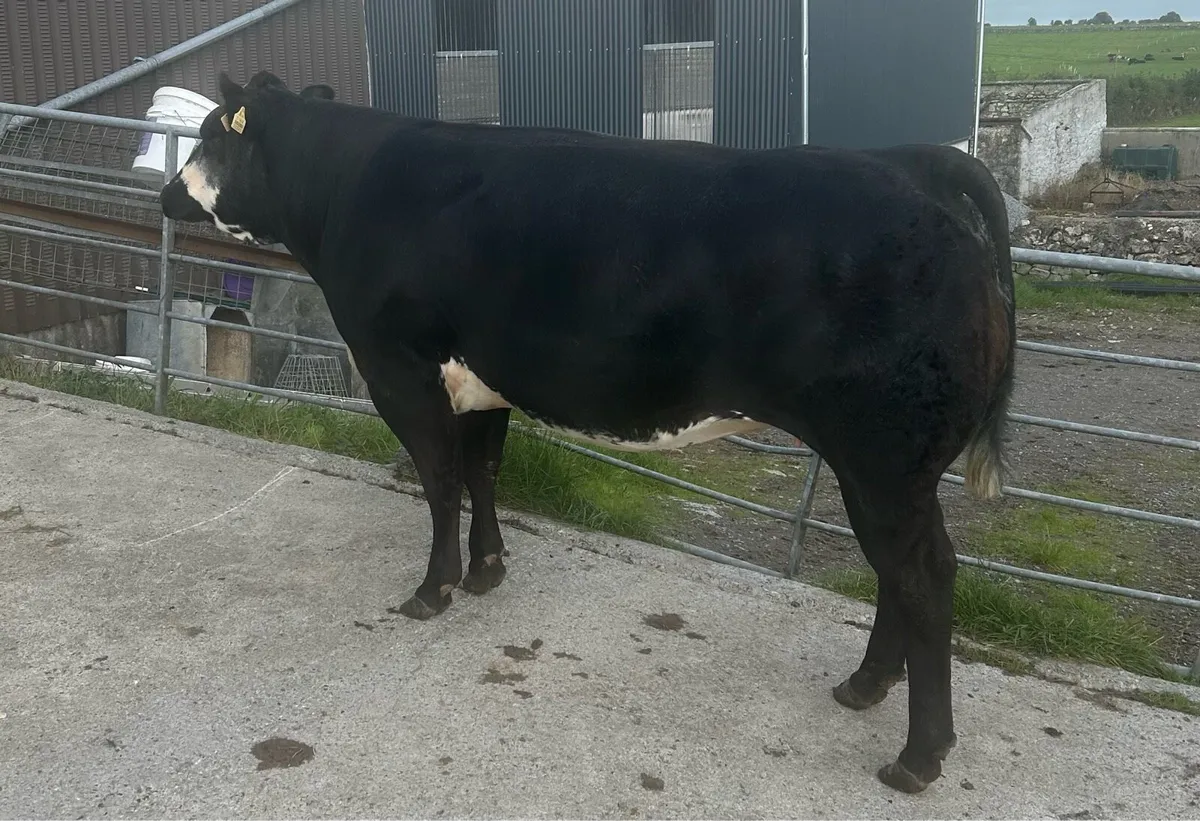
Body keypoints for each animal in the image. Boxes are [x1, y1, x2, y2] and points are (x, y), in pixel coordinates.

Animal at [160, 71, 1017, 795]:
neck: (349, 185)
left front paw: (434, 589)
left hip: (884, 457)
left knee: (923, 576)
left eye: (208, 135)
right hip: (889, 466)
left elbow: (440, 481)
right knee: (899, 572)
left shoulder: (399, 371)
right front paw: (487, 570)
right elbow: (483, 473)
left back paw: (917, 755)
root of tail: (913, 163)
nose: (167, 193)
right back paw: (864, 685)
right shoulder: (483, 379)